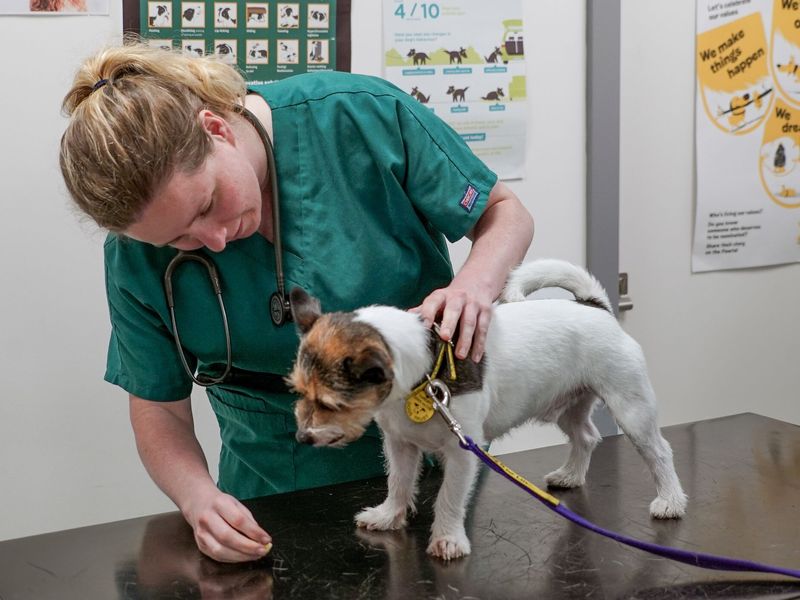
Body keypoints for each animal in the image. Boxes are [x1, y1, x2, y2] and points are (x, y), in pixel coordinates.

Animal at [288, 260, 688, 560]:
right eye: (299, 391)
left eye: (330, 403)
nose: (302, 437)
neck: (423, 373)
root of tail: (595, 306)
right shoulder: (400, 444)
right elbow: (398, 482)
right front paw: (389, 515)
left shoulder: (463, 450)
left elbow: (449, 497)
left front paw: (448, 539)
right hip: (568, 406)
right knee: (586, 436)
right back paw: (572, 475)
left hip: (631, 407)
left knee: (660, 451)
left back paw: (670, 500)